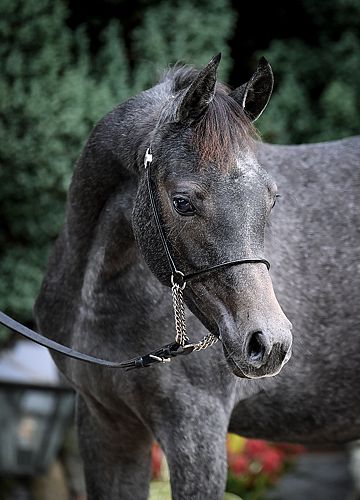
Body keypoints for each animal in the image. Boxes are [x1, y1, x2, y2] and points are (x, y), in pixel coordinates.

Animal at [34, 54, 360, 500]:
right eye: (182, 202)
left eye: (272, 198)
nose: (270, 344)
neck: (98, 299)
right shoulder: (106, 423)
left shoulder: (195, 430)